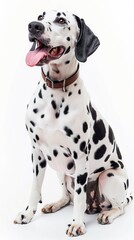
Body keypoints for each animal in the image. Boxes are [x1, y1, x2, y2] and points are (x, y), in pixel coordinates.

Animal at [14, 10, 132, 236]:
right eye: (40, 17)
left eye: (61, 20)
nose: (33, 26)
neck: (55, 89)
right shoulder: (37, 153)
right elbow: (35, 188)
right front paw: (27, 213)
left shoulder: (79, 156)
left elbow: (79, 196)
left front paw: (76, 223)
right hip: (60, 170)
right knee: (67, 196)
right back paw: (56, 203)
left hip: (109, 176)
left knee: (120, 206)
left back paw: (108, 214)